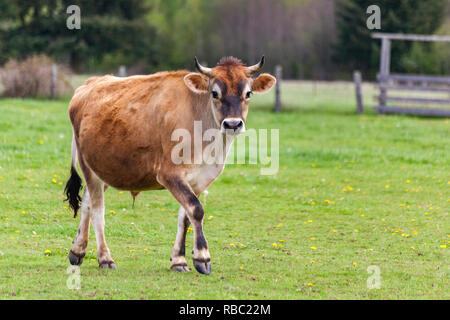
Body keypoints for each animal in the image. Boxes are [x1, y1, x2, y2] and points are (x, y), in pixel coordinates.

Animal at [62, 56, 274, 274]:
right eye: (215, 93)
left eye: (248, 93)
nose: (232, 124)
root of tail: (90, 83)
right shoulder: (169, 174)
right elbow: (196, 209)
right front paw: (202, 257)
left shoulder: (199, 179)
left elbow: (186, 216)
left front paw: (179, 260)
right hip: (88, 166)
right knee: (97, 209)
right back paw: (105, 258)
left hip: (104, 169)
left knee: (87, 202)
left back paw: (77, 251)